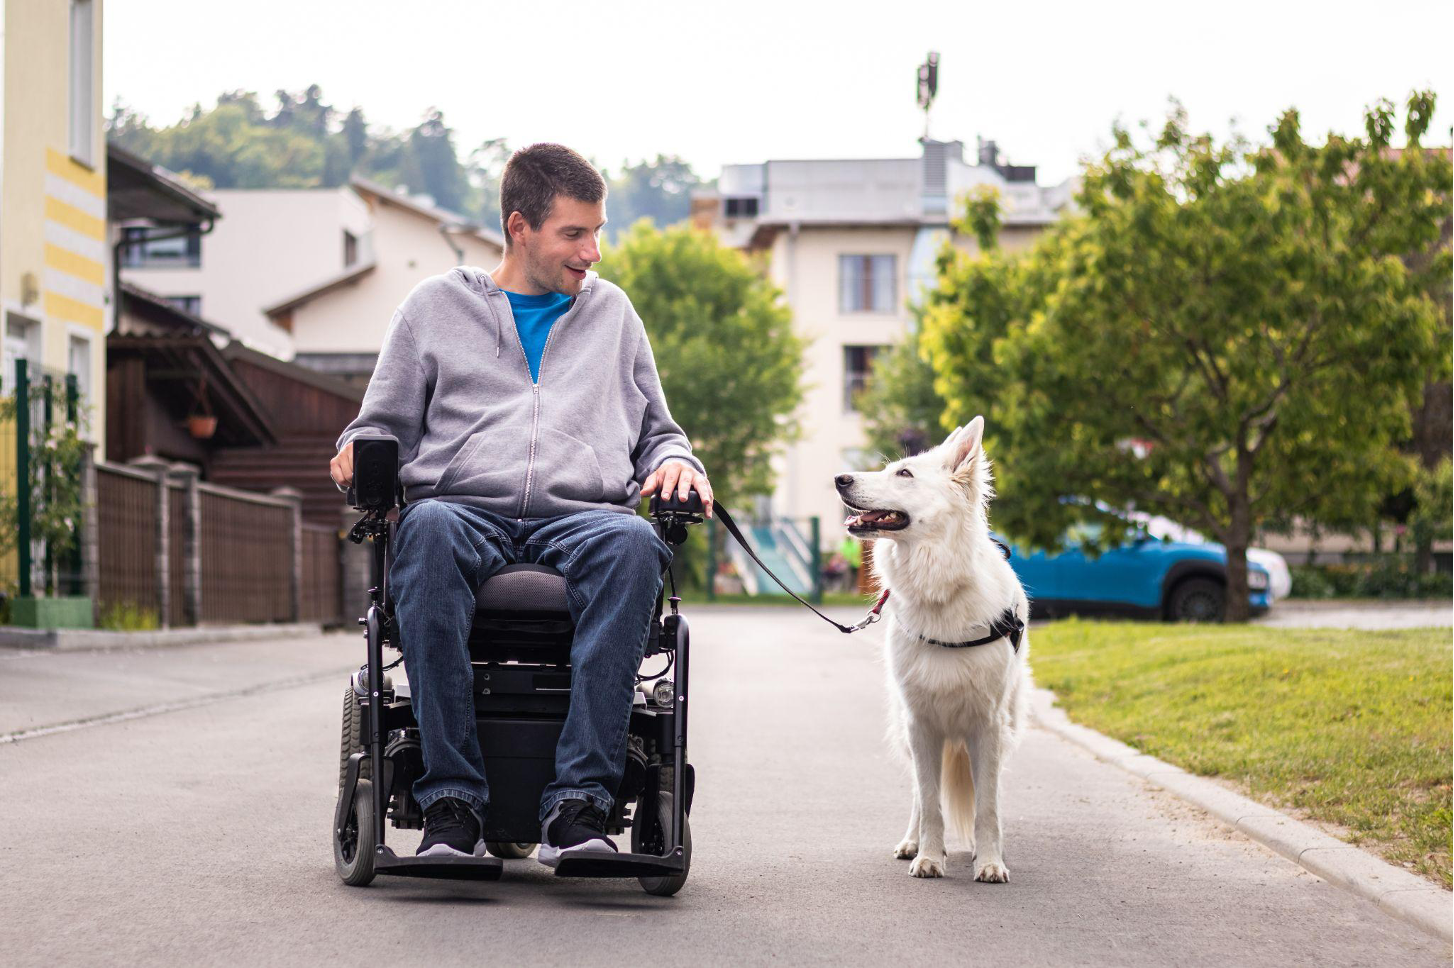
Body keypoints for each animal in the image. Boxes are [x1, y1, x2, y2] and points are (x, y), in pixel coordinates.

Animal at [837, 415, 1029, 883]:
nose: (839, 478)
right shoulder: (921, 724)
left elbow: (987, 806)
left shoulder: (988, 727)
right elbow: (928, 801)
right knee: (920, 796)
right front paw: (928, 856)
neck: (939, 586)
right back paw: (912, 842)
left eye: (904, 474)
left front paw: (990, 860)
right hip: (912, 732)